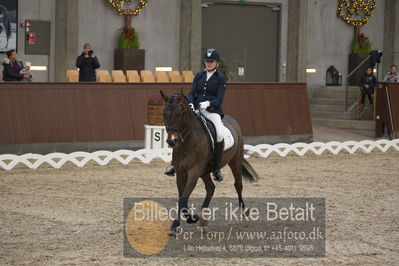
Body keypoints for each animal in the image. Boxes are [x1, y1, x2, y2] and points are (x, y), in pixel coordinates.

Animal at [160, 90, 260, 235]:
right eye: (164, 113)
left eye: (179, 113)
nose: (171, 141)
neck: (188, 142)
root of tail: (232, 120)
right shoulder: (181, 172)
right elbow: (181, 198)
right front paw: (181, 223)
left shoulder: (194, 172)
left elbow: (183, 198)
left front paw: (187, 220)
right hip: (205, 171)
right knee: (211, 188)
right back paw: (203, 219)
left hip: (235, 161)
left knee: (238, 184)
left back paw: (243, 210)